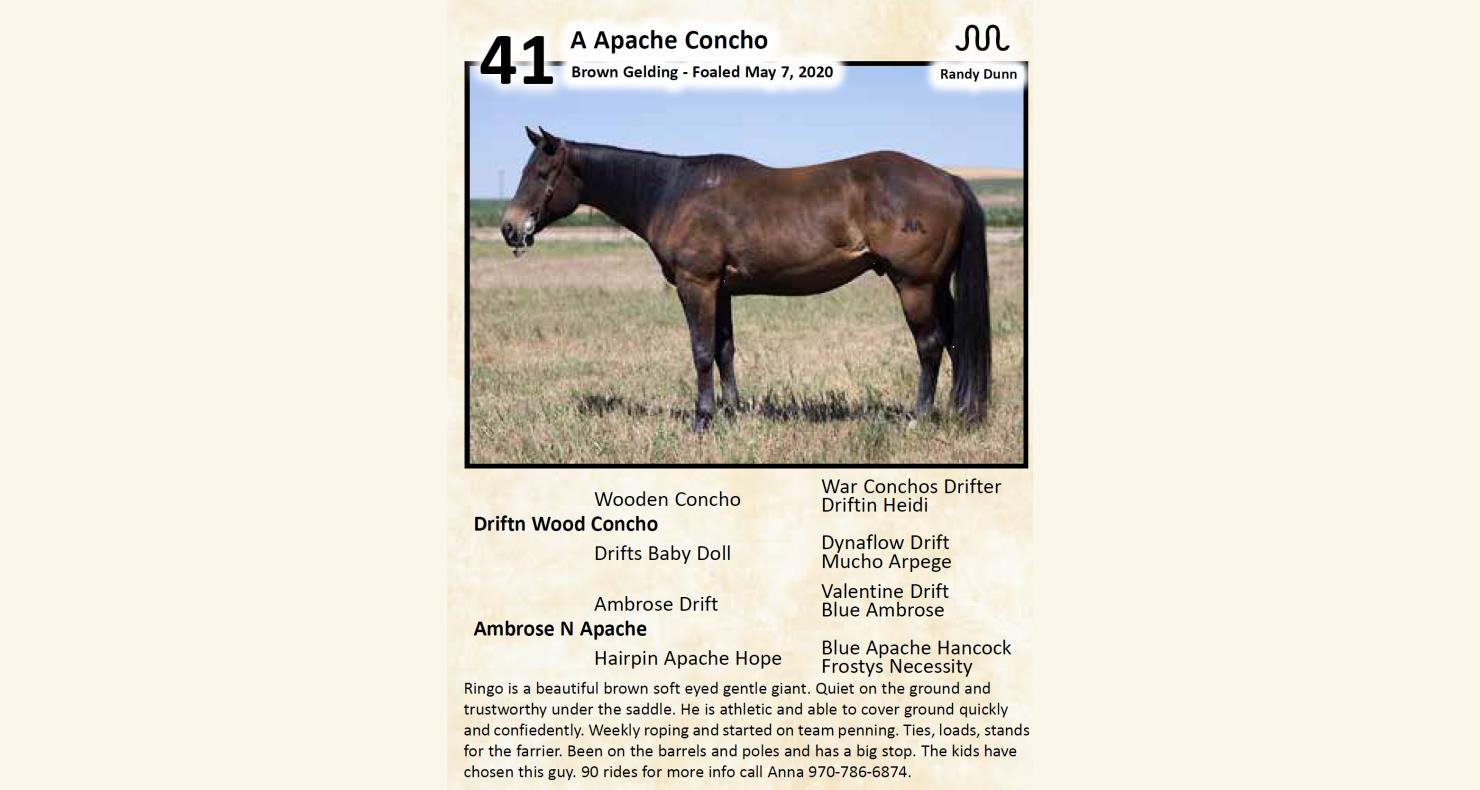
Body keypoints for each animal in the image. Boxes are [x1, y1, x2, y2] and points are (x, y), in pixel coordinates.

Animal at [498, 126, 990, 433]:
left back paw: (919, 416)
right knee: (953, 342)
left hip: (915, 286)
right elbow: (724, 350)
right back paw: (961, 411)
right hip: (936, 286)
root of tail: (947, 179)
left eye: (540, 174)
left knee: (930, 346)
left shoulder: (696, 284)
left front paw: (702, 419)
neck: (673, 192)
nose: (509, 228)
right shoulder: (721, 290)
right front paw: (731, 412)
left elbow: (700, 352)